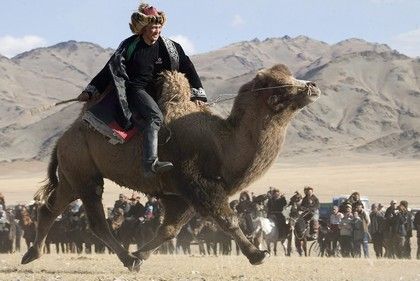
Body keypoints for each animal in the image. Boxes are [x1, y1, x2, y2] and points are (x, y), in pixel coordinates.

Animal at [21, 63, 320, 270]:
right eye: (279, 84)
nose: (313, 86)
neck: (222, 144)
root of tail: (62, 138)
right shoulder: (197, 184)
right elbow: (228, 219)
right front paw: (257, 255)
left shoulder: (181, 196)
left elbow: (169, 230)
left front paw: (141, 253)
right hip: (83, 171)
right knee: (95, 220)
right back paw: (126, 259)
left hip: (72, 174)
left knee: (50, 208)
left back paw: (32, 254)